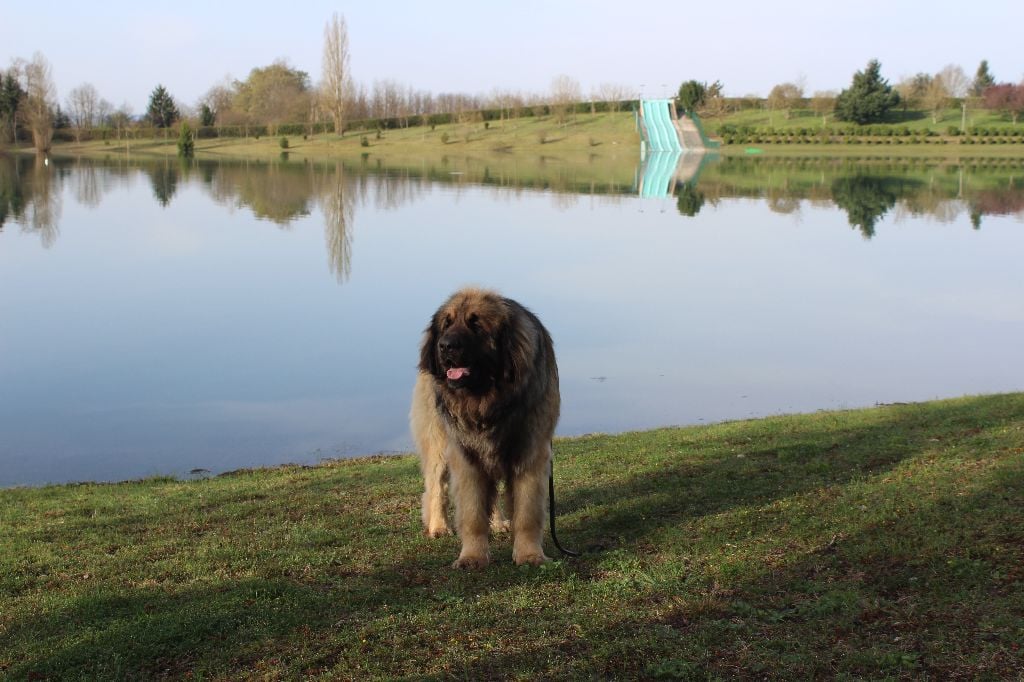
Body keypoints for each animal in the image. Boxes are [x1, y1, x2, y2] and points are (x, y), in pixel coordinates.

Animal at [407, 286, 561, 569]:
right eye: (447, 324)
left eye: (476, 325)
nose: (444, 345)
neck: (487, 401)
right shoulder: (466, 458)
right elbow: (472, 513)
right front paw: (472, 557)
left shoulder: (530, 454)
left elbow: (527, 513)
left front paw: (529, 555)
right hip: (438, 444)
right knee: (436, 487)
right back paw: (438, 526)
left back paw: (498, 522)